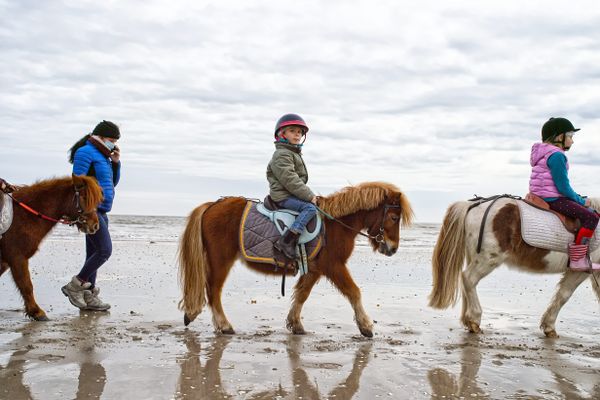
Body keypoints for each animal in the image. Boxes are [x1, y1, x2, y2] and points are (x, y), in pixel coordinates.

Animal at [0, 177, 103, 320]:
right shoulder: (17, 258)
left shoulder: (6, 261)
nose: (95, 226)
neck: (23, 216)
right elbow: (26, 285)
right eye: (84, 197)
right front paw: (37, 312)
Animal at [177, 183, 412, 336]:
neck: (336, 225)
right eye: (394, 217)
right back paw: (224, 325)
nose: (393, 248)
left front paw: (295, 324)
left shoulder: (315, 269)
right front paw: (366, 327)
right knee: (213, 291)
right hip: (221, 259)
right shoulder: (334, 266)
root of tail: (212, 205)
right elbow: (354, 292)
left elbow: (301, 295)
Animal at [426, 197, 600, 338]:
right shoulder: (580, 271)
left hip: (475, 257)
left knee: (467, 284)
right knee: (468, 279)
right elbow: (564, 295)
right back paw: (474, 319)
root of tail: (473, 205)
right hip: (488, 259)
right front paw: (549, 327)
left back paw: (467, 320)